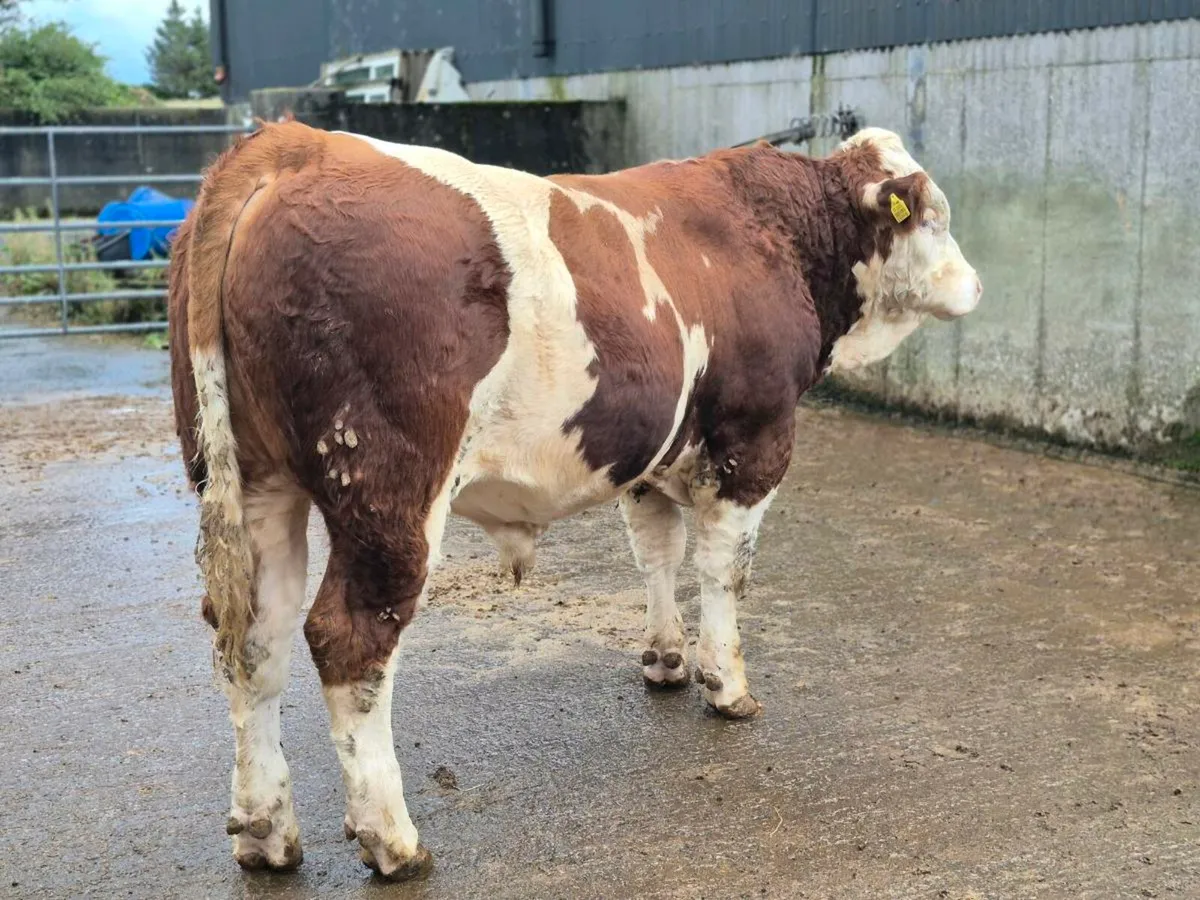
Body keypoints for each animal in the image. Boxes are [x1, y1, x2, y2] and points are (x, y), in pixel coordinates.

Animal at [168, 120, 981, 880]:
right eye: (935, 215)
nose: (976, 285)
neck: (776, 232)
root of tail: (294, 144)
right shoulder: (755, 438)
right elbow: (724, 571)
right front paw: (726, 685)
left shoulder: (651, 453)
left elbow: (658, 554)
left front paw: (666, 658)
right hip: (388, 493)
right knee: (349, 640)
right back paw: (391, 840)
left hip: (254, 484)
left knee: (254, 642)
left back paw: (266, 832)